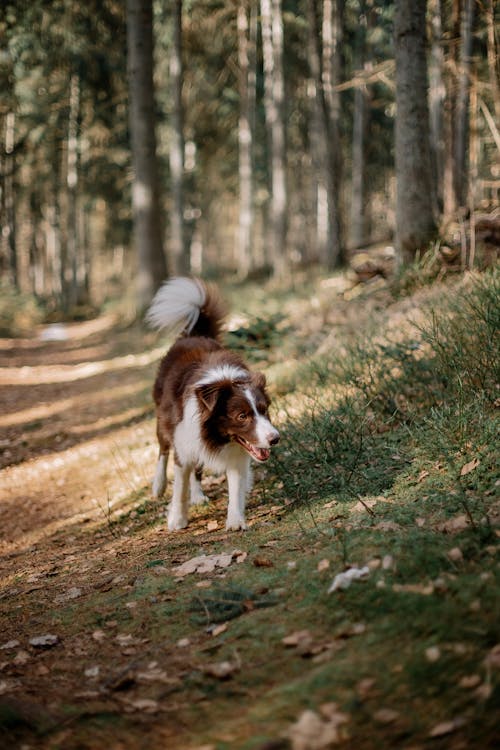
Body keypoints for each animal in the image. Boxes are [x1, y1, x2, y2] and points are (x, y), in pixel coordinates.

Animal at [147, 280, 282, 532]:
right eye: (242, 416)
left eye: (264, 410)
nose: (275, 439)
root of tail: (193, 335)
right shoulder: (185, 440)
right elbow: (179, 485)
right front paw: (177, 519)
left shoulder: (236, 452)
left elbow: (235, 486)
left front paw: (236, 520)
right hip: (164, 418)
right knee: (163, 450)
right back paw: (158, 486)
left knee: (197, 469)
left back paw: (198, 495)